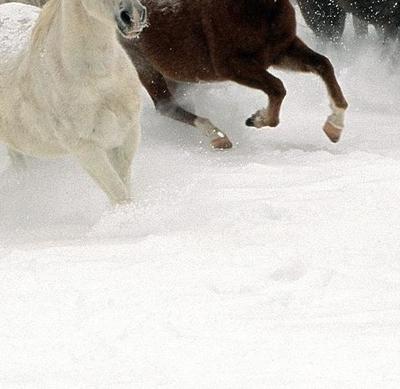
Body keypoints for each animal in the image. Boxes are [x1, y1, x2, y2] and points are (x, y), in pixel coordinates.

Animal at [0, 0, 147, 205]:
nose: (134, 16)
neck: (100, 81)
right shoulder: (86, 149)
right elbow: (118, 194)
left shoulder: (126, 135)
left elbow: (124, 184)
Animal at [121, 0, 346, 149]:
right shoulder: (232, 66)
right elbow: (277, 88)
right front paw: (257, 120)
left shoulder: (282, 50)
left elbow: (324, 65)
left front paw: (334, 128)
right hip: (143, 64)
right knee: (166, 106)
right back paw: (218, 137)